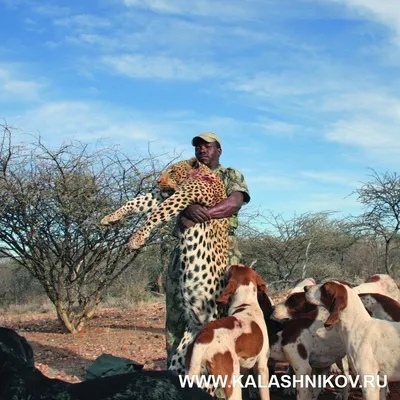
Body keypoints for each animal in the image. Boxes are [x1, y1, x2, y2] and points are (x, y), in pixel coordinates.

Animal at [101, 157, 230, 376]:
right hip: (187, 343)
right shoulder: (163, 195)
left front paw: (137, 238)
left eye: (172, 171)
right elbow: (136, 202)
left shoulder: (183, 195)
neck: (203, 172)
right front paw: (111, 217)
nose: (157, 181)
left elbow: (155, 213)